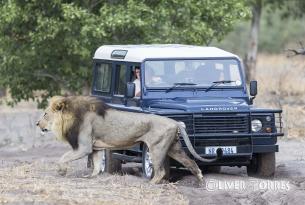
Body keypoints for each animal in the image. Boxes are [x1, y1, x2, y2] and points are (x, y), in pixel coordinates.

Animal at [36, 96, 221, 184]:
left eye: (45, 114)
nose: (37, 123)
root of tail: (175, 122)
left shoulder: (84, 147)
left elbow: (63, 157)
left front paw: (62, 171)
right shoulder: (95, 148)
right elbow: (96, 165)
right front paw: (91, 177)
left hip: (157, 148)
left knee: (161, 171)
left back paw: (150, 183)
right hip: (174, 148)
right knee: (192, 163)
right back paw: (200, 182)